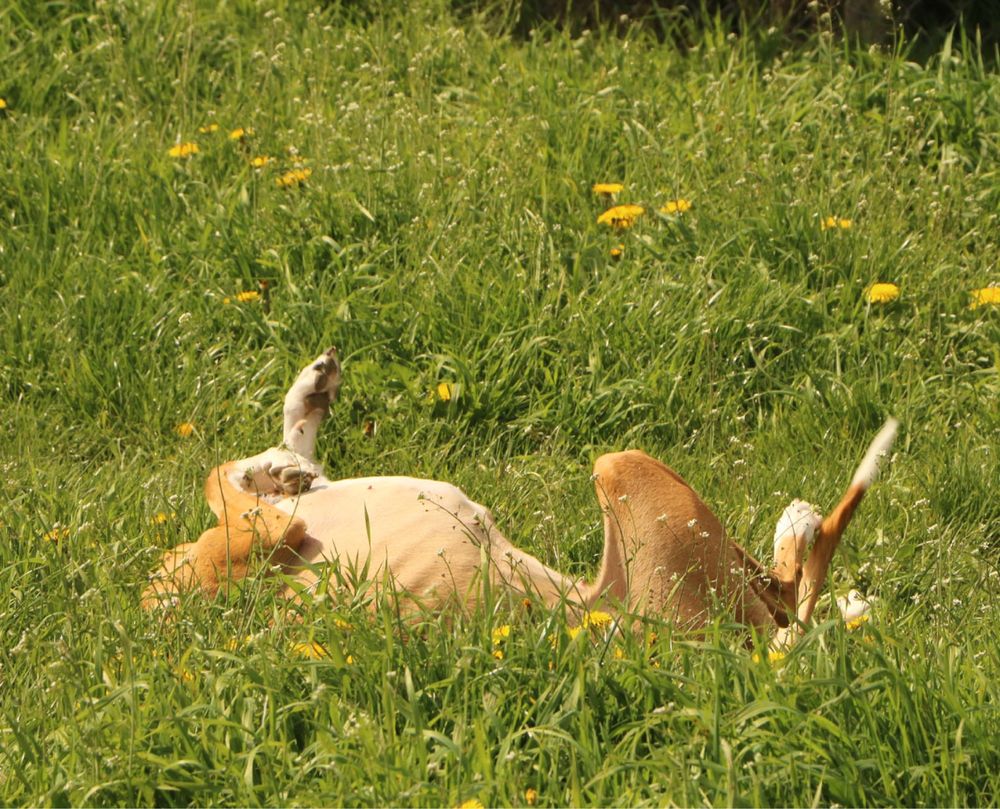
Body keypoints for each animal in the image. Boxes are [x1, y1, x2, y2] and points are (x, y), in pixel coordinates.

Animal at [143, 344, 900, 648]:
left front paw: (300, 422)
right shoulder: (262, 535)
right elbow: (225, 473)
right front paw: (281, 458)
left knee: (790, 589)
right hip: (622, 468)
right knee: (792, 583)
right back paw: (804, 532)